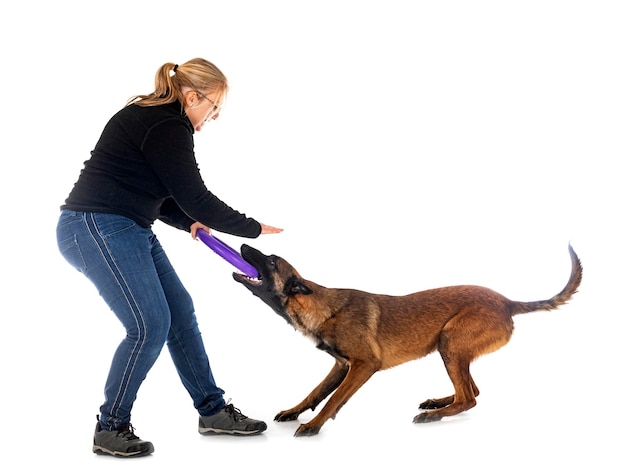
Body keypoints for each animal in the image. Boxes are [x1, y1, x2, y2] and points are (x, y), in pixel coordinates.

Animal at [233, 244, 580, 436]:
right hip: (454, 349)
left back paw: (434, 415)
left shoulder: (363, 366)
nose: (243, 247)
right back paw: (439, 402)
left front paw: (313, 425)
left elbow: (333, 400)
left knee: (469, 397)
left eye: (272, 260)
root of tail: (508, 302)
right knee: (471, 390)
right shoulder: (342, 366)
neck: (322, 305)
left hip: (449, 342)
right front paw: (294, 412)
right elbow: (315, 392)